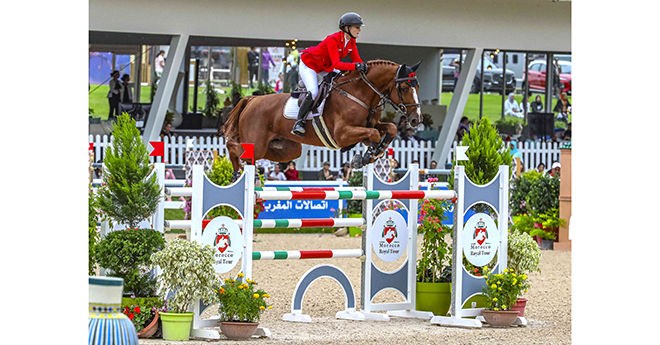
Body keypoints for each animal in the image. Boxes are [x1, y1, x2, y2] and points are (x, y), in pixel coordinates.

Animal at [219, 59, 420, 175]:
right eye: (404, 88)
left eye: (417, 86)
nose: (415, 119)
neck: (358, 93)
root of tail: (252, 100)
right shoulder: (342, 134)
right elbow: (375, 134)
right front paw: (365, 157)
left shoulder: (369, 126)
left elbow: (389, 129)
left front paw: (374, 153)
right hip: (256, 143)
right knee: (235, 148)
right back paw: (236, 170)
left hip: (287, 149)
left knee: (259, 156)